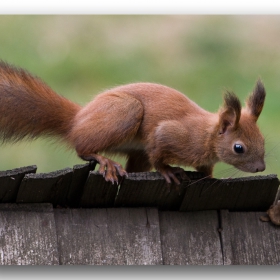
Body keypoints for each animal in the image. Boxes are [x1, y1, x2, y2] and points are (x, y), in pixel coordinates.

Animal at [0, 60, 266, 184]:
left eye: (263, 140)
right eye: (238, 148)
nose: (261, 168)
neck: (206, 135)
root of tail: (78, 119)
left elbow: (206, 171)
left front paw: (211, 179)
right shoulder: (169, 133)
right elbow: (158, 152)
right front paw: (168, 171)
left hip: (136, 152)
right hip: (125, 112)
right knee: (82, 146)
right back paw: (105, 161)